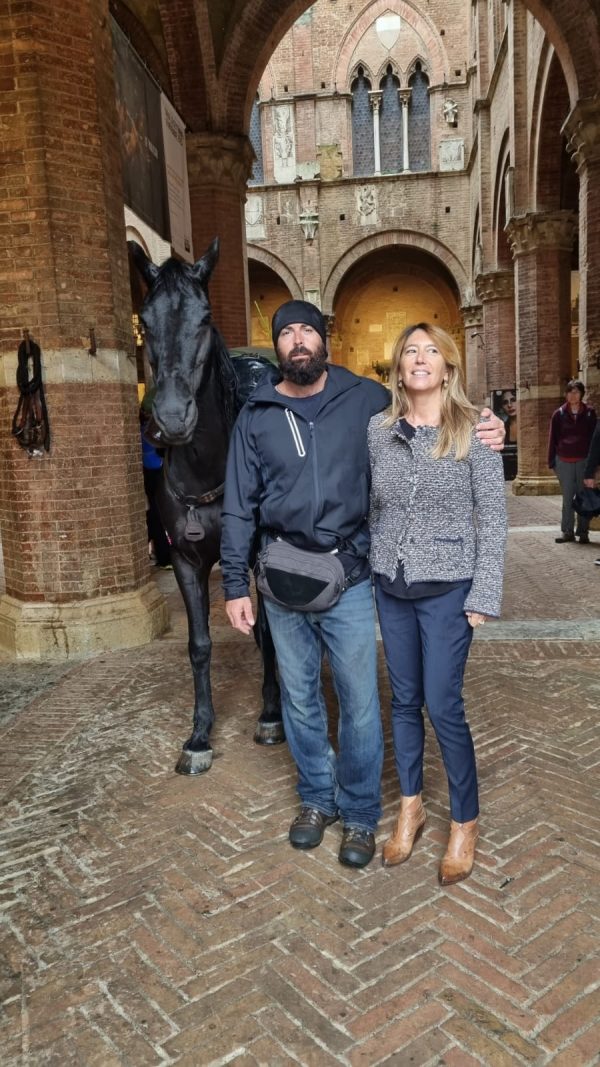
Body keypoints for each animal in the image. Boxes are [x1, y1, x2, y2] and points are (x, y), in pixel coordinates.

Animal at [128, 240, 281, 776]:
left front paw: (272, 715)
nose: (172, 417)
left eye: (205, 315)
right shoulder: (184, 560)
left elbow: (270, 634)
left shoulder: (260, 558)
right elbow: (199, 646)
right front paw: (199, 735)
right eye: (144, 318)